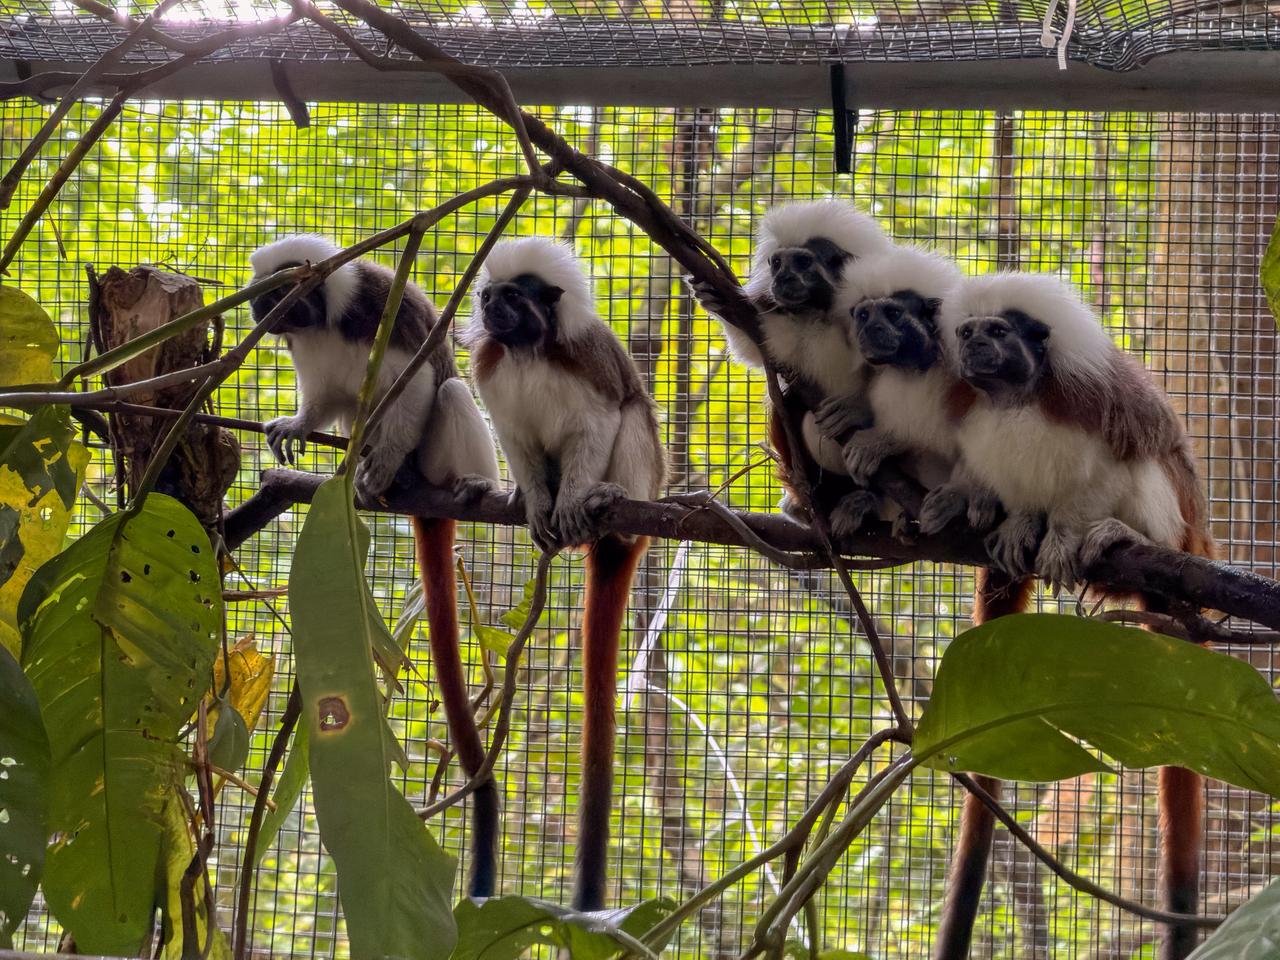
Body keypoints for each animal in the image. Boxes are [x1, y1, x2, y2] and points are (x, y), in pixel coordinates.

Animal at [248, 235, 504, 899]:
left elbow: (413, 384)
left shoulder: (385, 306)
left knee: (449, 394)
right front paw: (299, 423)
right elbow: (326, 398)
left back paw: (449, 481)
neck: (326, 317)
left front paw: (381, 463)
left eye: (281, 300)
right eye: (264, 306)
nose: (266, 319)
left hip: (434, 458)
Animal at [461, 236, 665, 911]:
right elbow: (517, 438)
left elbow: (598, 423)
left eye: (513, 297)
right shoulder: (492, 369)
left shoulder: (585, 364)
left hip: (646, 482)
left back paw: (608, 510)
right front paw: (535, 504)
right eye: (488, 296)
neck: (527, 350)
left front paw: (575, 498)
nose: (491, 307)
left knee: (633, 417)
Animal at [689, 200, 894, 527]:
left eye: (801, 262)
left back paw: (865, 500)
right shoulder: (770, 309)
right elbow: (755, 350)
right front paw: (714, 300)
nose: (781, 278)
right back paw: (807, 502)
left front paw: (855, 409)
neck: (818, 312)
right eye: (776, 263)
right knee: (789, 401)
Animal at [920, 271, 1215, 960]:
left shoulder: (1091, 403)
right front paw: (1018, 521)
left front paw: (1064, 533)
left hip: (1179, 528)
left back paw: (1120, 538)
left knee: (1149, 471)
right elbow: (1010, 487)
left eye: (997, 331)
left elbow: (1098, 479)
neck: (1016, 399)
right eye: (965, 332)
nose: (974, 347)